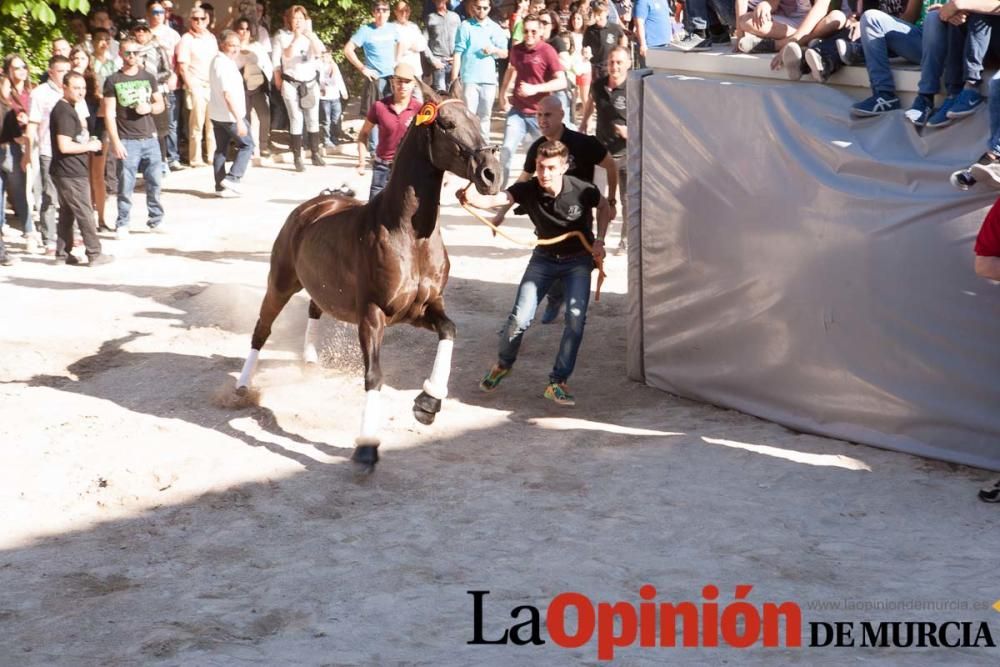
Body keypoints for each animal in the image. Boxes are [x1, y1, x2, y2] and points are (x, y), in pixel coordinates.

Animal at [234, 86, 500, 470]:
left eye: (477, 119)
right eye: (448, 124)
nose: (492, 174)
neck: (409, 235)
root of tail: (312, 206)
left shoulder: (421, 310)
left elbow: (450, 330)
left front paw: (428, 404)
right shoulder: (373, 315)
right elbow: (374, 375)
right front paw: (366, 447)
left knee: (314, 308)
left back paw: (310, 361)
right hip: (280, 283)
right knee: (262, 329)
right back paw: (242, 387)